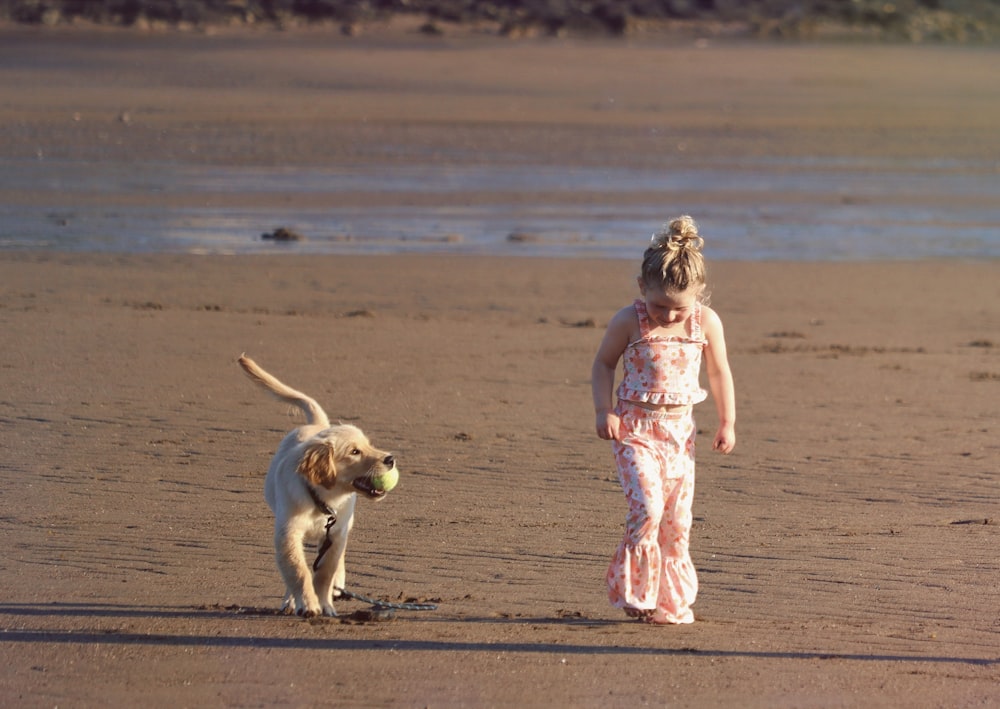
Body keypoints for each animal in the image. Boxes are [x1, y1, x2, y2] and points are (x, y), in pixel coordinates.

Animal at [238, 352, 398, 612]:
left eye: (368, 445)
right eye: (354, 452)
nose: (391, 459)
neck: (322, 499)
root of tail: (317, 425)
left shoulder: (335, 534)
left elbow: (324, 573)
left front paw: (325, 604)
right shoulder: (287, 533)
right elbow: (298, 571)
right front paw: (307, 603)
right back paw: (290, 600)